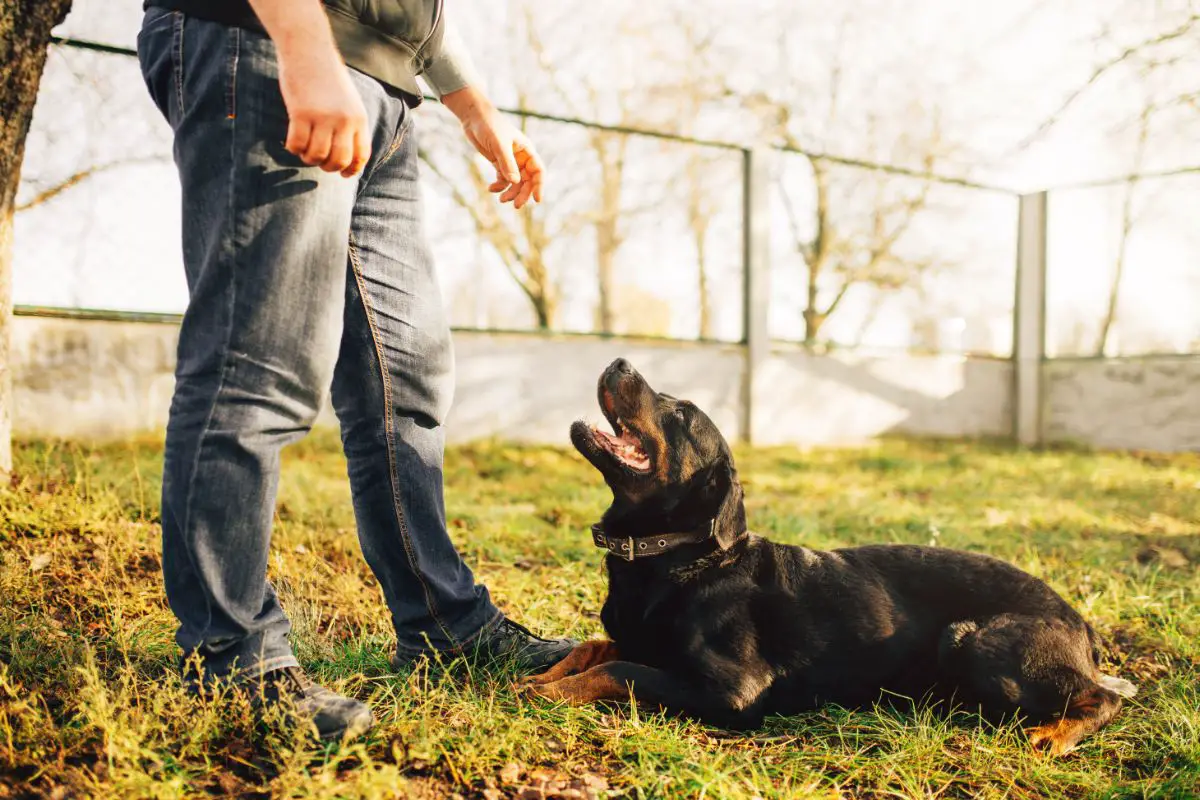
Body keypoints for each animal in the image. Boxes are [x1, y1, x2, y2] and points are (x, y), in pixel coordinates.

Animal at [523, 359, 1132, 753]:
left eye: (684, 414)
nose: (619, 360)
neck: (676, 557)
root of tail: (1081, 622)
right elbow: (597, 646)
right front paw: (548, 673)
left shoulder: (732, 690)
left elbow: (620, 669)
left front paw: (554, 690)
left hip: (974, 641)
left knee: (1102, 698)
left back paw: (1053, 735)